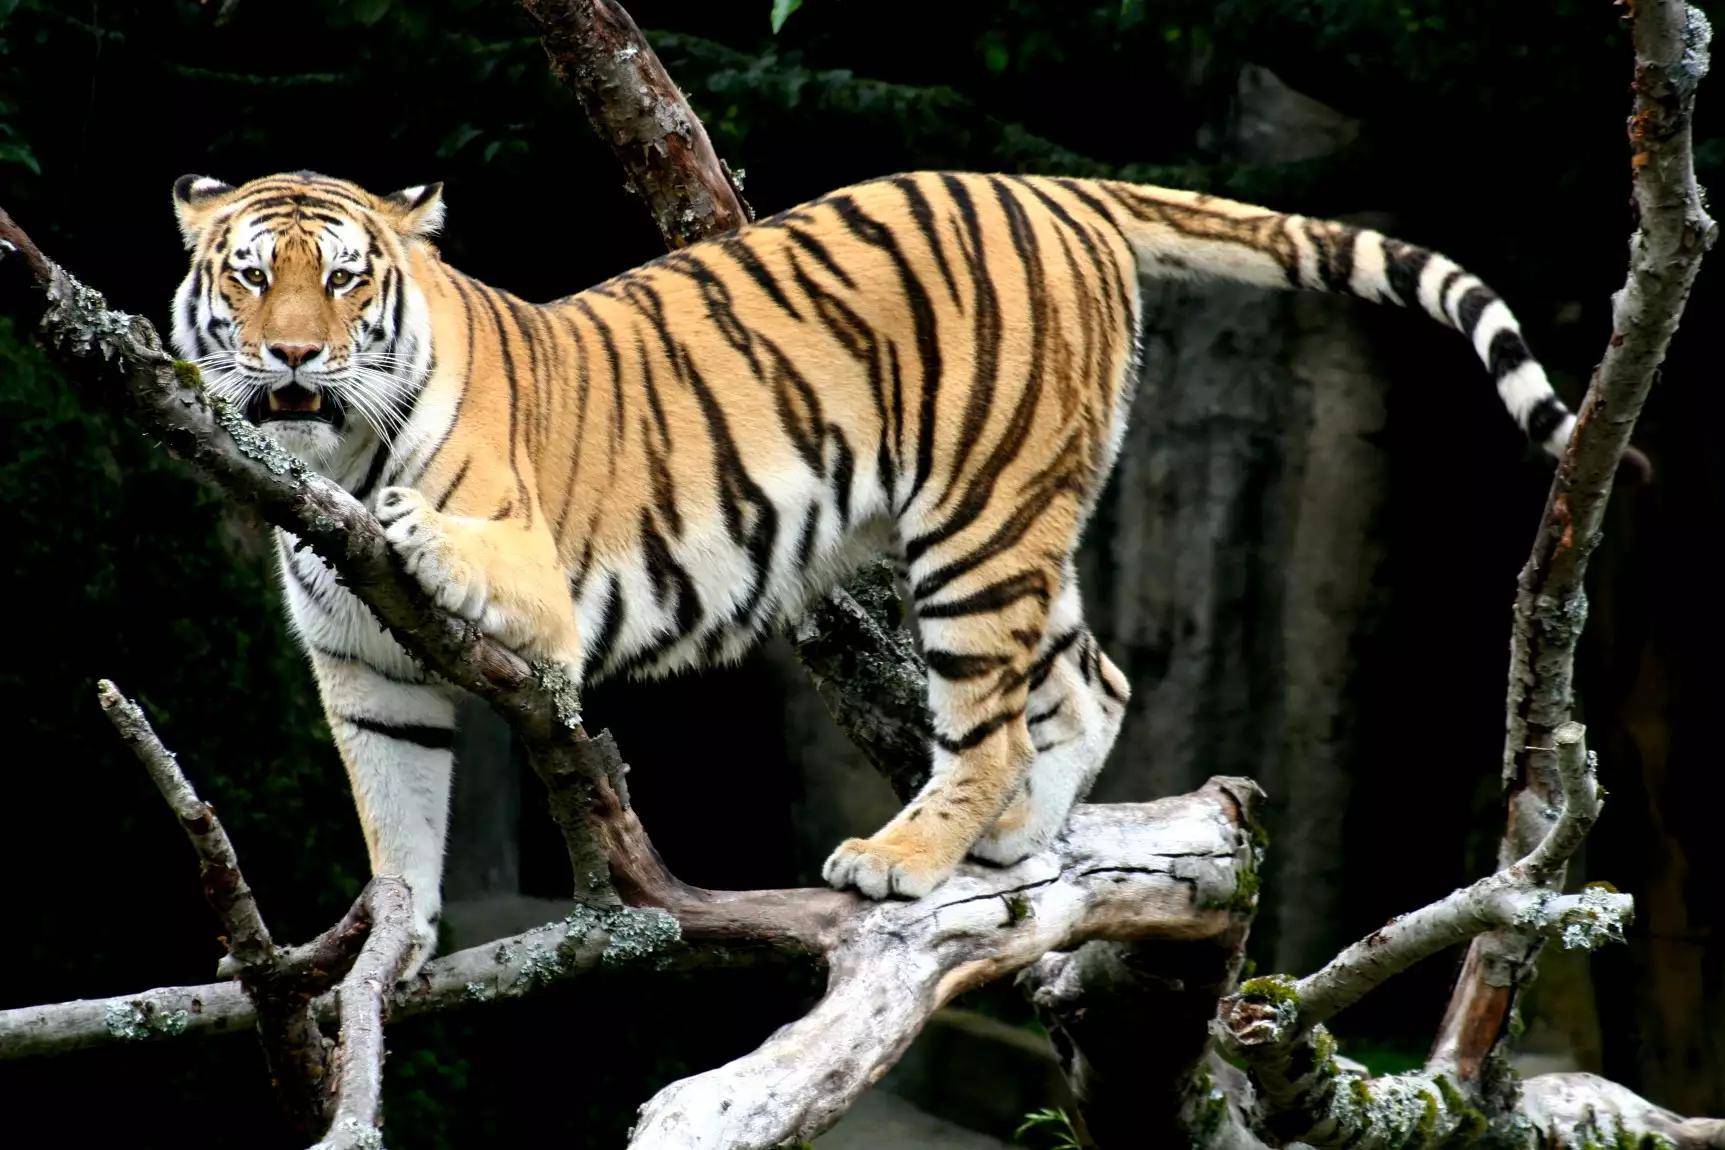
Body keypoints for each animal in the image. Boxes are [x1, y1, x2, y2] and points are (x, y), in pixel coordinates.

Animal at [168, 170, 1573, 979]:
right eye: (251, 274)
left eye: (346, 280)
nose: (293, 356)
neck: (330, 455)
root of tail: (1056, 187)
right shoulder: (363, 675)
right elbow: (396, 819)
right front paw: (396, 941)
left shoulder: (541, 599)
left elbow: (454, 547)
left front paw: (410, 518)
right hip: (1027, 516)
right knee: (1095, 681)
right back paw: (1018, 839)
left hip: (975, 525)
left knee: (989, 723)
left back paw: (907, 856)